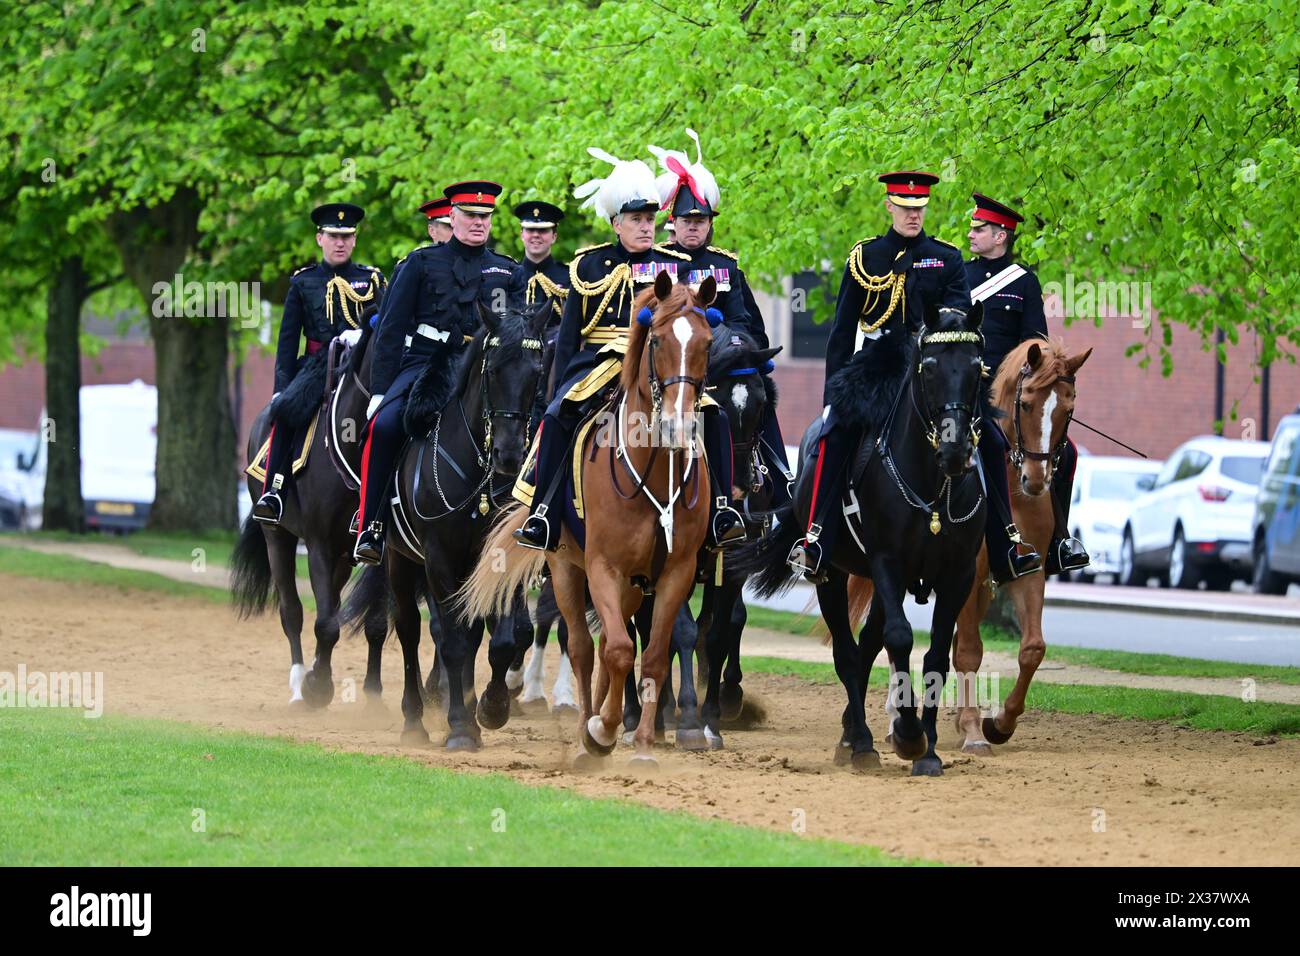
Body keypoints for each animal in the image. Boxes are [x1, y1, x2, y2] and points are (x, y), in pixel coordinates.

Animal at [232, 325, 390, 707]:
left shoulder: (381, 551)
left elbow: (375, 623)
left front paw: (373, 696)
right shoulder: (319, 545)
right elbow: (325, 624)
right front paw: (317, 686)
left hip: (344, 557)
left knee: (330, 601)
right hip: (278, 537)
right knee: (292, 611)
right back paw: (298, 684)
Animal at [343, 303, 551, 749]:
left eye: (536, 371)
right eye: (493, 370)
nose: (510, 455)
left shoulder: (498, 559)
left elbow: (502, 638)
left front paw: (490, 709)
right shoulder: (439, 558)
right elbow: (453, 641)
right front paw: (458, 726)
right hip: (401, 561)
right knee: (409, 629)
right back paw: (415, 720)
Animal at [457, 269, 717, 770]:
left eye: (708, 342)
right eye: (657, 340)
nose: (678, 427)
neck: (654, 471)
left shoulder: (676, 572)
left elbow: (652, 657)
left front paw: (642, 747)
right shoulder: (602, 567)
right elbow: (615, 651)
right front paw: (601, 731)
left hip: (632, 585)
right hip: (565, 568)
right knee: (582, 648)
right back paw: (585, 734)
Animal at [743, 304, 982, 780]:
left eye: (977, 367)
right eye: (929, 367)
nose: (955, 452)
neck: (931, 486)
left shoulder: (957, 575)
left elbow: (935, 656)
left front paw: (928, 751)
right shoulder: (889, 562)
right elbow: (901, 638)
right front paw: (908, 735)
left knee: (868, 643)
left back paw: (854, 733)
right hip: (832, 573)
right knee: (848, 653)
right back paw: (861, 744)